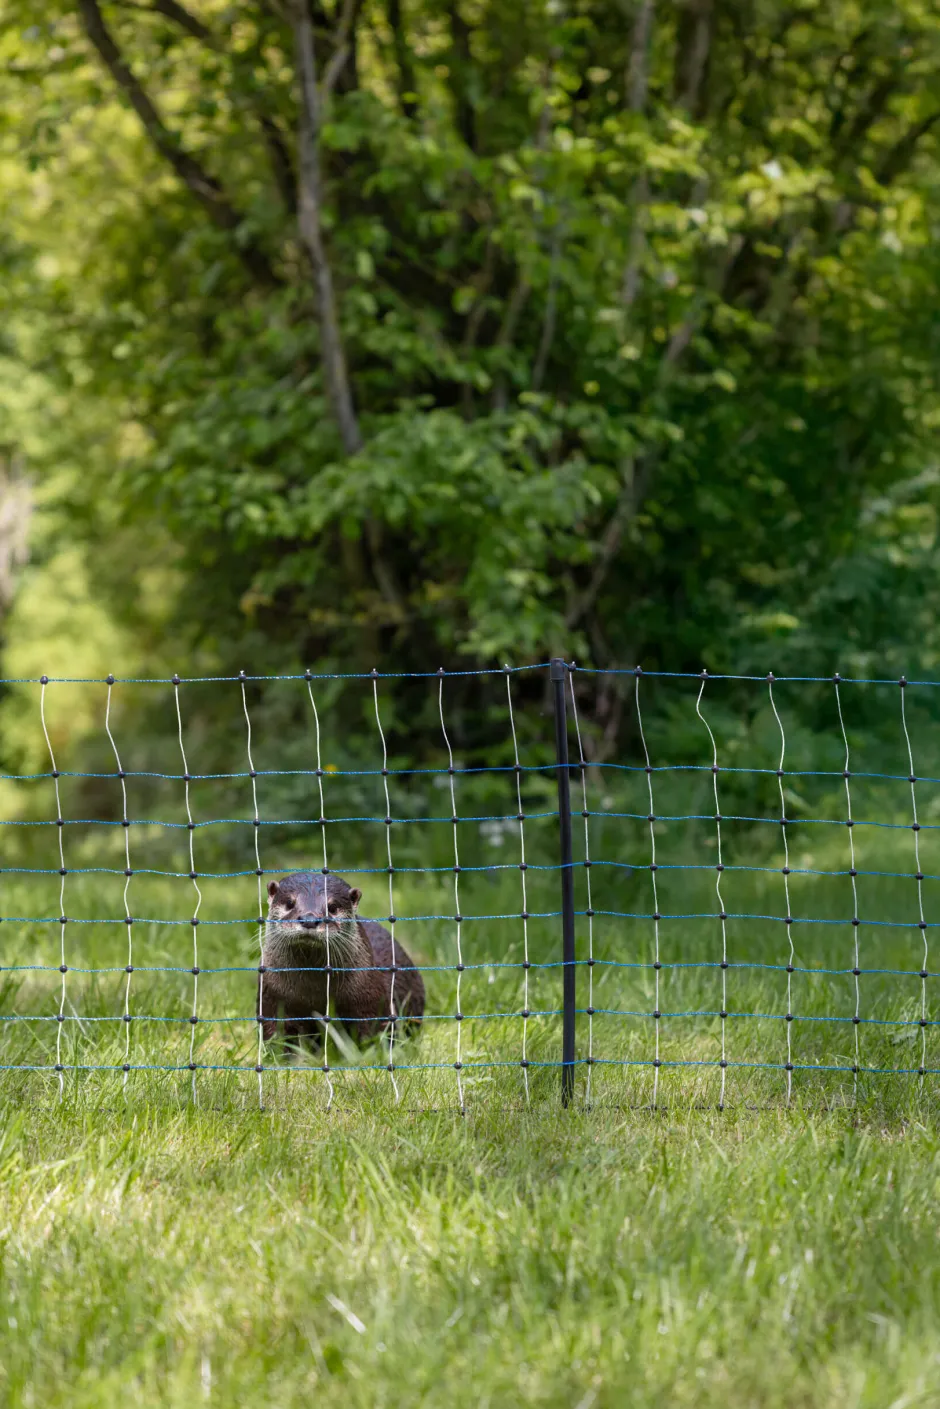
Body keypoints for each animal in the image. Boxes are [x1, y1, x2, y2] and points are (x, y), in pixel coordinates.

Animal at [258, 871, 425, 1049]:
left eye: (332, 908)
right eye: (290, 903)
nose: (309, 919)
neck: (315, 994)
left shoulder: (371, 1004)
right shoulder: (272, 1001)